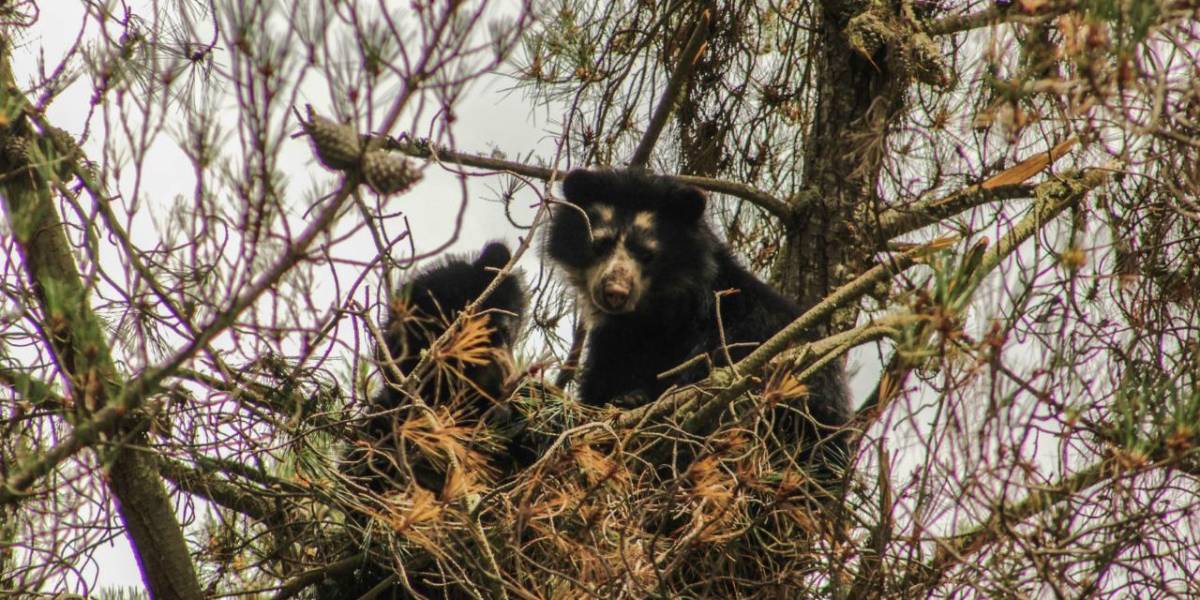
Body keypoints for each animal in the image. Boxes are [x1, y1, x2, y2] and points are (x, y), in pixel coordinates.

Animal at [549, 169, 849, 463]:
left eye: (647, 253)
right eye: (599, 244)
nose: (614, 292)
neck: (655, 313)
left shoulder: (730, 329)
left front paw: (634, 400)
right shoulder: (612, 340)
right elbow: (599, 385)